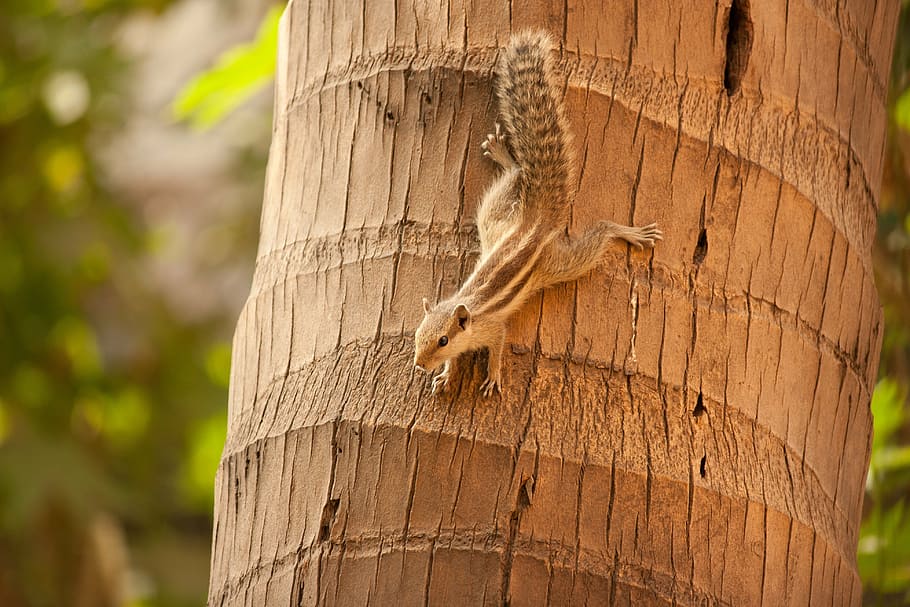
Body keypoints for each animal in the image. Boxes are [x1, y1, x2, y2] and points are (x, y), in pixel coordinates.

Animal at [414, 30, 662, 397]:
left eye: (443, 339)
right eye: (419, 333)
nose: (419, 363)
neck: (471, 311)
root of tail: (535, 221)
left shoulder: (493, 328)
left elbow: (498, 348)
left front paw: (492, 376)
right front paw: (446, 375)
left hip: (558, 264)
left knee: (600, 233)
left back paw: (630, 233)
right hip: (493, 221)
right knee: (517, 172)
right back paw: (503, 154)